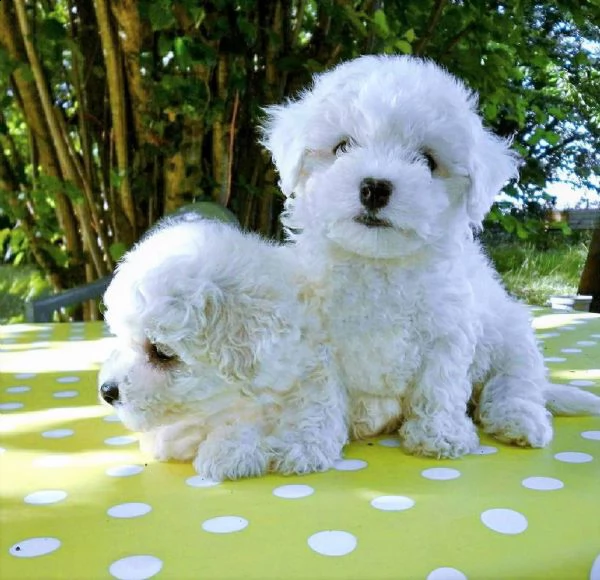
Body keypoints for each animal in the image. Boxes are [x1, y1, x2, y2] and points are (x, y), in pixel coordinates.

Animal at [98, 215, 346, 478]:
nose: (107, 391)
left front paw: (296, 447)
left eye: (162, 353)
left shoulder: (313, 370)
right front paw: (230, 449)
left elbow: (312, 411)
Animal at [262, 55, 600, 462]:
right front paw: (307, 443)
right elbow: (318, 394)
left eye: (427, 160)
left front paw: (439, 435)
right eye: (342, 147)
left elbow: (439, 384)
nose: (374, 187)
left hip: (512, 333)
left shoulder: (448, 331)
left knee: (517, 382)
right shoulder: (316, 340)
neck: (379, 263)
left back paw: (518, 420)